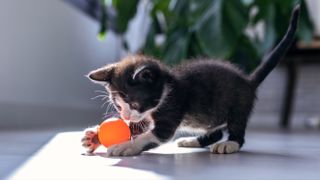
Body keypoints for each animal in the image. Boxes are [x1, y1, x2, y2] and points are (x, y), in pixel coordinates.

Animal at [82, 5, 300, 156]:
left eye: (134, 103)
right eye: (118, 107)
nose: (125, 116)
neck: (167, 88)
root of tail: (248, 80)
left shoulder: (172, 107)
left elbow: (150, 135)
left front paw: (126, 146)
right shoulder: (146, 115)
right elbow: (138, 127)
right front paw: (94, 137)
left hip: (238, 105)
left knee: (237, 128)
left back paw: (229, 144)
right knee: (215, 130)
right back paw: (193, 141)